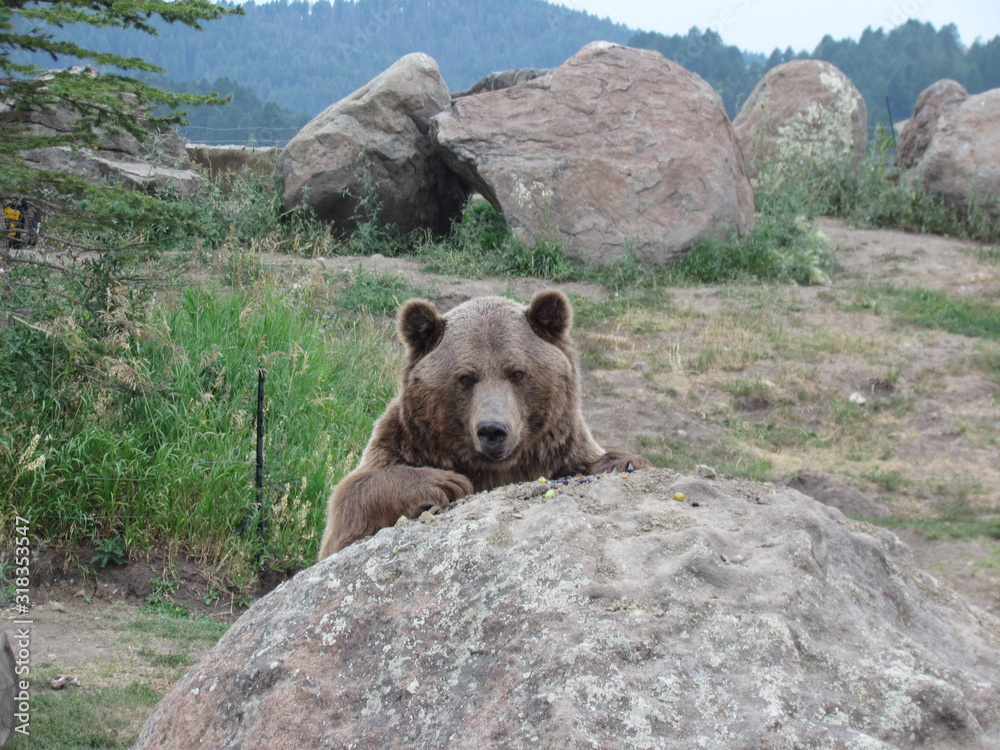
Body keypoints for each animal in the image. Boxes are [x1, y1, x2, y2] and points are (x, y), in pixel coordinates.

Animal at [318, 289, 650, 558]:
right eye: (466, 377)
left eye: (517, 372)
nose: (493, 430)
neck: (496, 469)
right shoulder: (405, 441)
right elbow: (349, 507)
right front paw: (444, 482)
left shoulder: (561, 449)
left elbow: (593, 459)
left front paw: (622, 462)